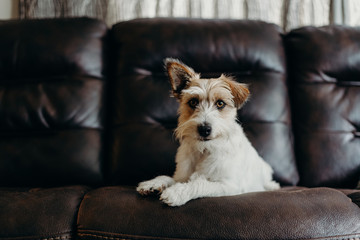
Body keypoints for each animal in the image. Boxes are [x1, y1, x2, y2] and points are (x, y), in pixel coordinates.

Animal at [136, 58, 280, 206]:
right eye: (193, 102)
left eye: (220, 103)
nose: (204, 129)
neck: (204, 150)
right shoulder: (181, 176)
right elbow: (168, 178)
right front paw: (152, 184)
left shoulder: (228, 185)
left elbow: (200, 184)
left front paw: (176, 192)